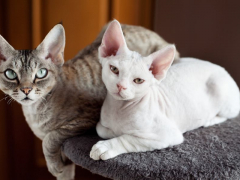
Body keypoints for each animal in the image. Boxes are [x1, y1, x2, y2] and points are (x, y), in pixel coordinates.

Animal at [0, 22, 180, 179]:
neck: (34, 112)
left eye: (41, 73)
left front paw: (52, 164)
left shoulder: (86, 118)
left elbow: (51, 137)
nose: (26, 90)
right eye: (11, 74)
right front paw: (57, 167)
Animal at [89, 19, 239, 160]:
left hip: (221, 93)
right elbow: (101, 129)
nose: (121, 86)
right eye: (114, 69)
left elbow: (128, 138)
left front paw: (106, 146)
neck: (119, 109)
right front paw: (114, 132)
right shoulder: (102, 124)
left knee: (228, 115)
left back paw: (209, 120)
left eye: (138, 81)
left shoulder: (166, 135)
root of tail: (221, 69)